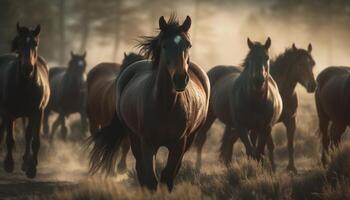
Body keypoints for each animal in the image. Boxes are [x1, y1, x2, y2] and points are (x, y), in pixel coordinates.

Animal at [0, 23, 50, 178]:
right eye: (20, 43)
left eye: (35, 43)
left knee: (28, 136)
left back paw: (25, 162)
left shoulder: (37, 113)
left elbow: (35, 141)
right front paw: (9, 164)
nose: (27, 68)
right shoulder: (9, 113)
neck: (24, 86)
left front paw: (31, 168)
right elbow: (10, 139)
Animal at [87, 15, 209, 191]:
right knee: (140, 170)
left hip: (189, 139)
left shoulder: (179, 144)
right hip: (133, 136)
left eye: (188, 44)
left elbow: (168, 176)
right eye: (164, 45)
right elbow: (150, 179)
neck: (166, 105)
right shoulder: (148, 143)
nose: (180, 79)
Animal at [193, 37, 284, 170]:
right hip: (209, 116)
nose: (258, 80)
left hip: (253, 128)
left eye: (267, 57)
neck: (256, 101)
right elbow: (251, 151)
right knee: (201, 139)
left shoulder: (266, 127)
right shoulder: (241, 127)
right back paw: (198, 168)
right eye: (250, 58)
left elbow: (259, 153)